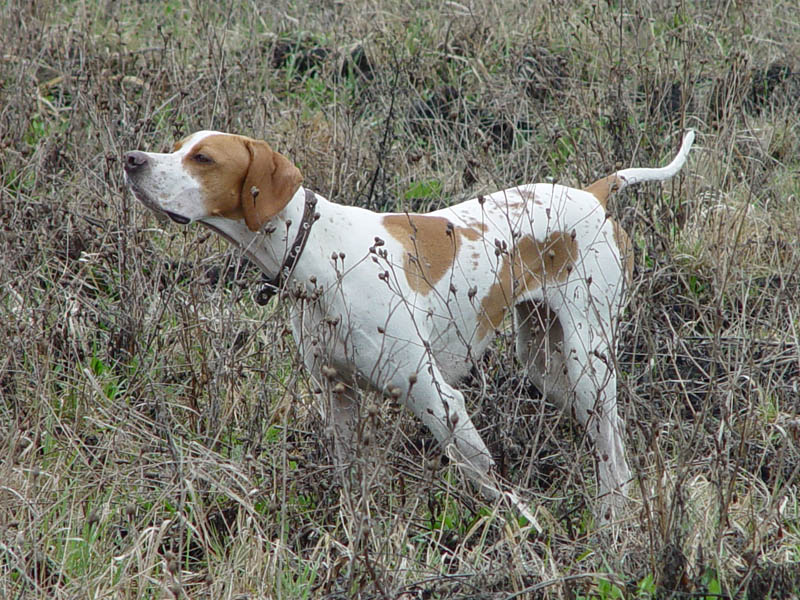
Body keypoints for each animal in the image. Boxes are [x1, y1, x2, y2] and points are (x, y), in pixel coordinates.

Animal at [124, 129, 694, 521]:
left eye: (203, 158)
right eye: (177, 147)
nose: (131, 159)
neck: (314, 252)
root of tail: (594, 194)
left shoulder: (436, 398)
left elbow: (490, 481)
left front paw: (531, 536)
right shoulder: (339, 397)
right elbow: (353, 482)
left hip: (586, 362)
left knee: (614, 454)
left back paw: (613, 523)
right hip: (547, 366)